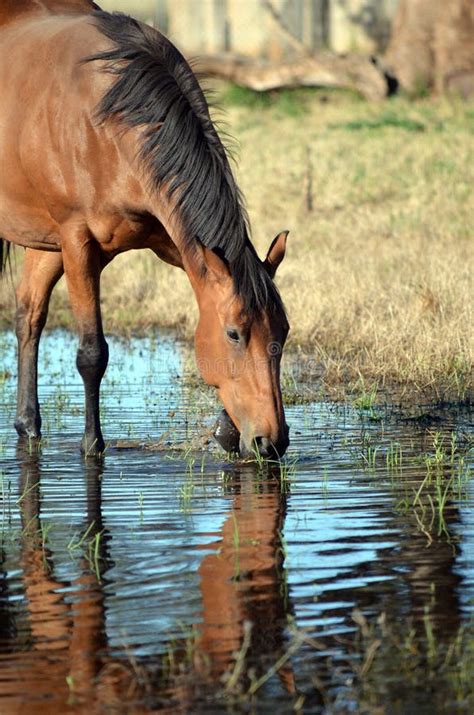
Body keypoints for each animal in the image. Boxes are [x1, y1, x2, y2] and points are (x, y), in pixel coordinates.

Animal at [0, 0, 288, 458]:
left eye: (284, 331)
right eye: (234, 334)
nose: (272, 442)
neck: (106, 120)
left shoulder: (174, 241)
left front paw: (228, 428)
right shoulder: (77, 242)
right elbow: (92, 352)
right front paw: (92, 445)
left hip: (42, 243)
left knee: (29, 314)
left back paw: (28, 426)